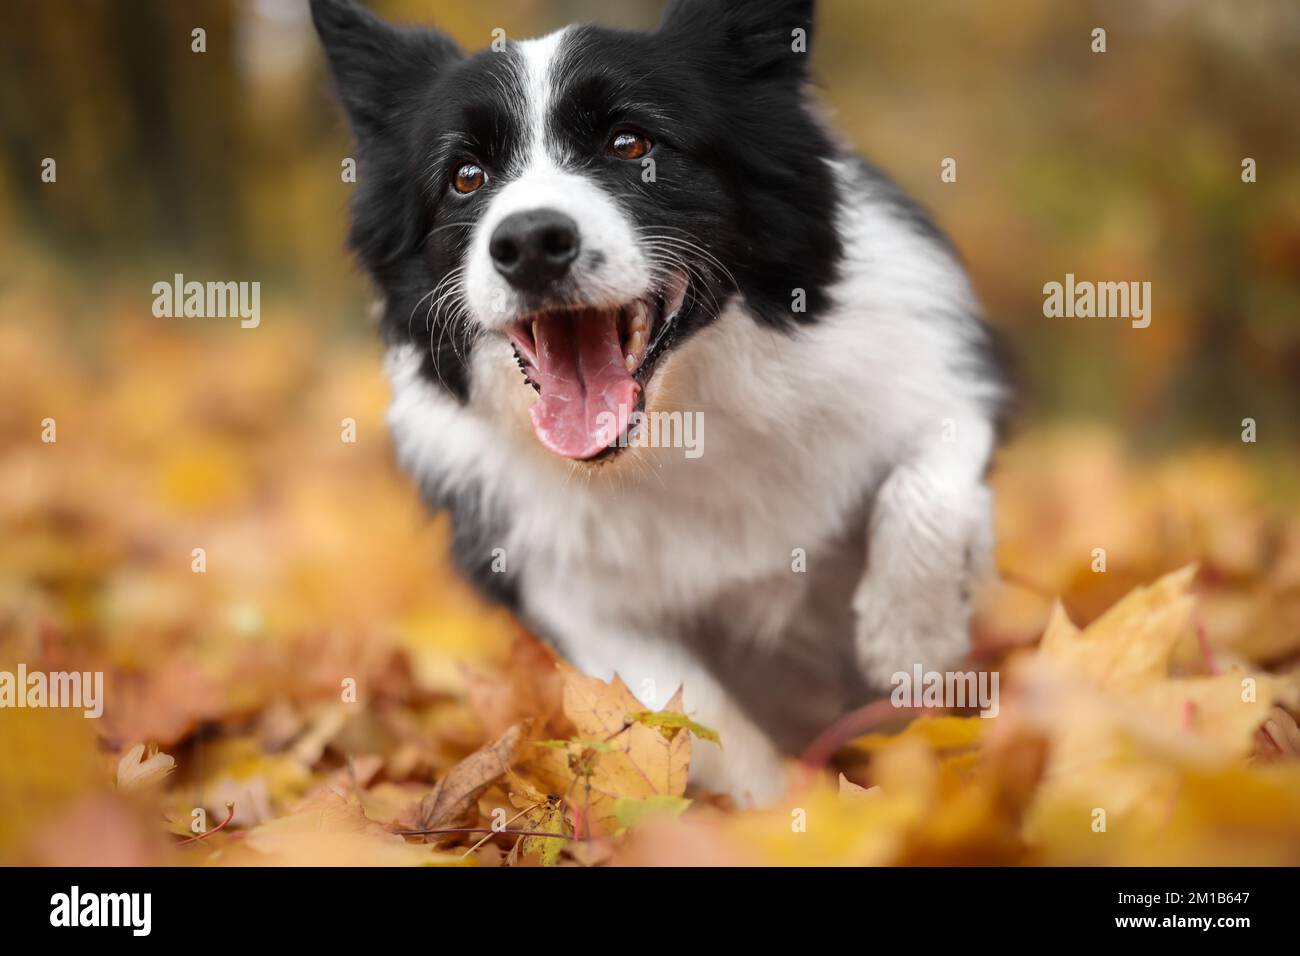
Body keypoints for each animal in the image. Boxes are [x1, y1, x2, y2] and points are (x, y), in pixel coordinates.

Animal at [309, 0, 1008, 806]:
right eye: (464, 176)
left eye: (631, 142)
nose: (530, 243)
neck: (686, 427)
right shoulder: (561, 586)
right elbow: (688, 708)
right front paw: (768, 813)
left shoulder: (940, 376)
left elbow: (927, 486)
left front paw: (911, 639)